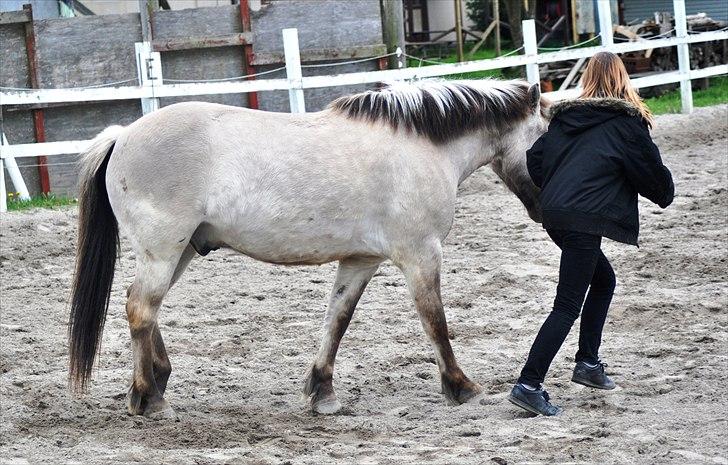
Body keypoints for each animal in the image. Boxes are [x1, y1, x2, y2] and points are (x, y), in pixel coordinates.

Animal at [69, 77, 544, 416]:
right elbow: (435, 322)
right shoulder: (421, 256)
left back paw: (156, 380)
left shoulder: (360, 260)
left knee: (146, 308)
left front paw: (323, 392)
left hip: (180, 251)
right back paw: (150, 398)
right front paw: (461, 387)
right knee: (141, 308)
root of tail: (123, 135)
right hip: (164, 250)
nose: (543, 208)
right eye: (544, 139)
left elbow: (337, 320)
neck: (421, 146)